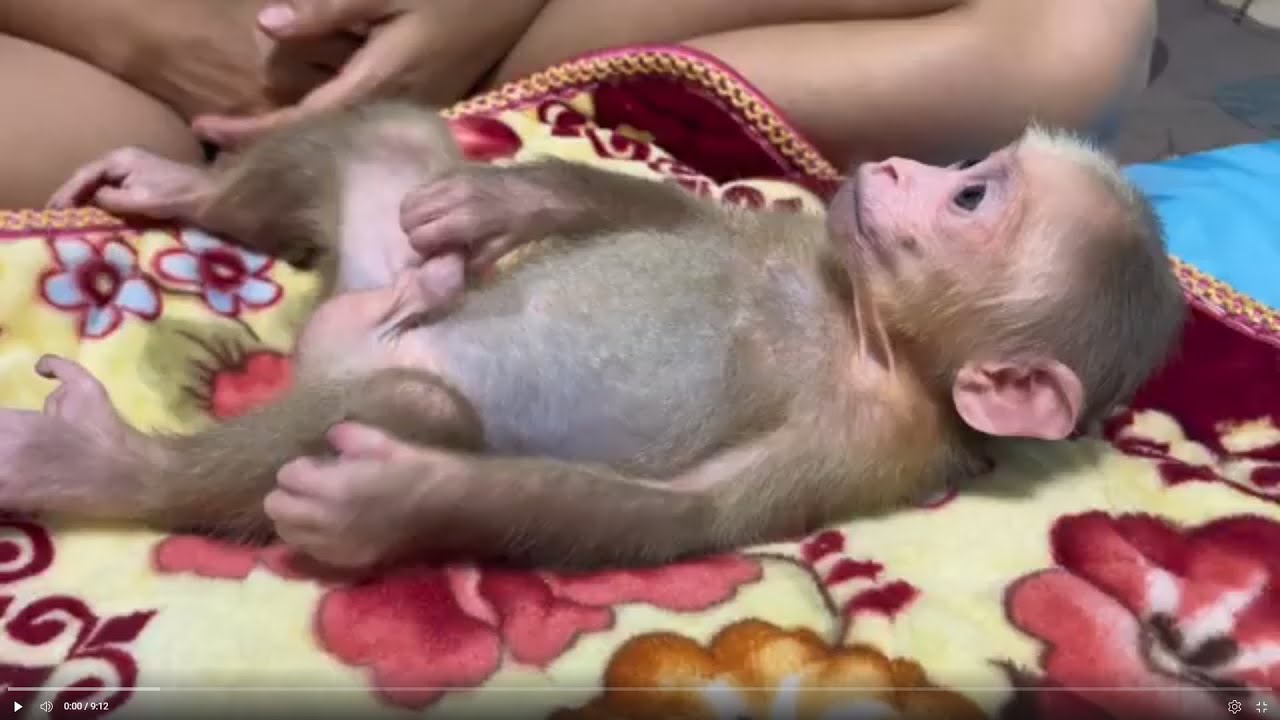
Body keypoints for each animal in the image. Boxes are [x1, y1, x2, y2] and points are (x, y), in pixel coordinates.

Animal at [10, 101, 1186, 571]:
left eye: (970, 196)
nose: (898, 168)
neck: (861, 321)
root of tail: (331, 343)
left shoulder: (871, 443)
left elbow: (680, 517)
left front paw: (392, 504)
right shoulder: (807, 234)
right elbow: (680, 217)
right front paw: (505, 205)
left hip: (361, 362)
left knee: (410, 403)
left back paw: (110, 465)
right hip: (375, 277)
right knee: (393, 143)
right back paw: (183, 190)